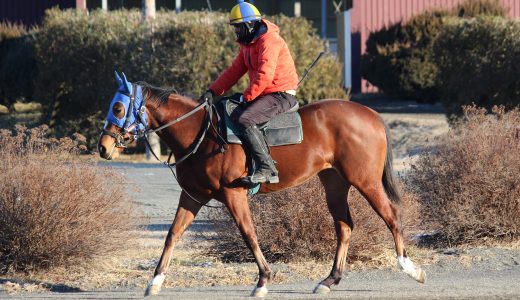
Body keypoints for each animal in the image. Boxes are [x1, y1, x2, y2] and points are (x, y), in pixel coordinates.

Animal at [98, 72, 426, 298]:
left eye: (118, 108)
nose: (103, 147)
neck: (201, 133)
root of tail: (371, 115)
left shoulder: (234, 195)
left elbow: (249, 235)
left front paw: (263, 279)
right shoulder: (192, 196)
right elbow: (172, 235)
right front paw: (155, 280)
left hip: (365, 181)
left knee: (391, 216)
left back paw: (410, 267)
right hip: (335, 184)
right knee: (344, 227)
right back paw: (329, 280)